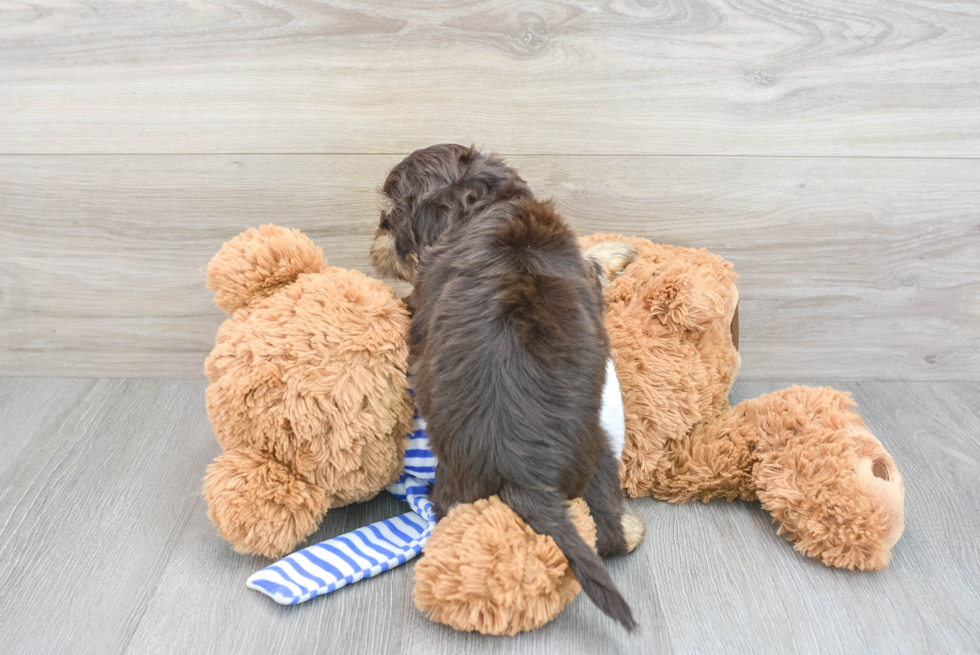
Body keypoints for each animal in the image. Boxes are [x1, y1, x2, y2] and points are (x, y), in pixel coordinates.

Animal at [370, 145, 644, 632]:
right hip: (600, 453)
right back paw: (630, 531)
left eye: (391, 217)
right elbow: (591, 263)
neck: (485, 207)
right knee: (605, 527)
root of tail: (522, 473)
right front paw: (613, 251)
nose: (377, 234)